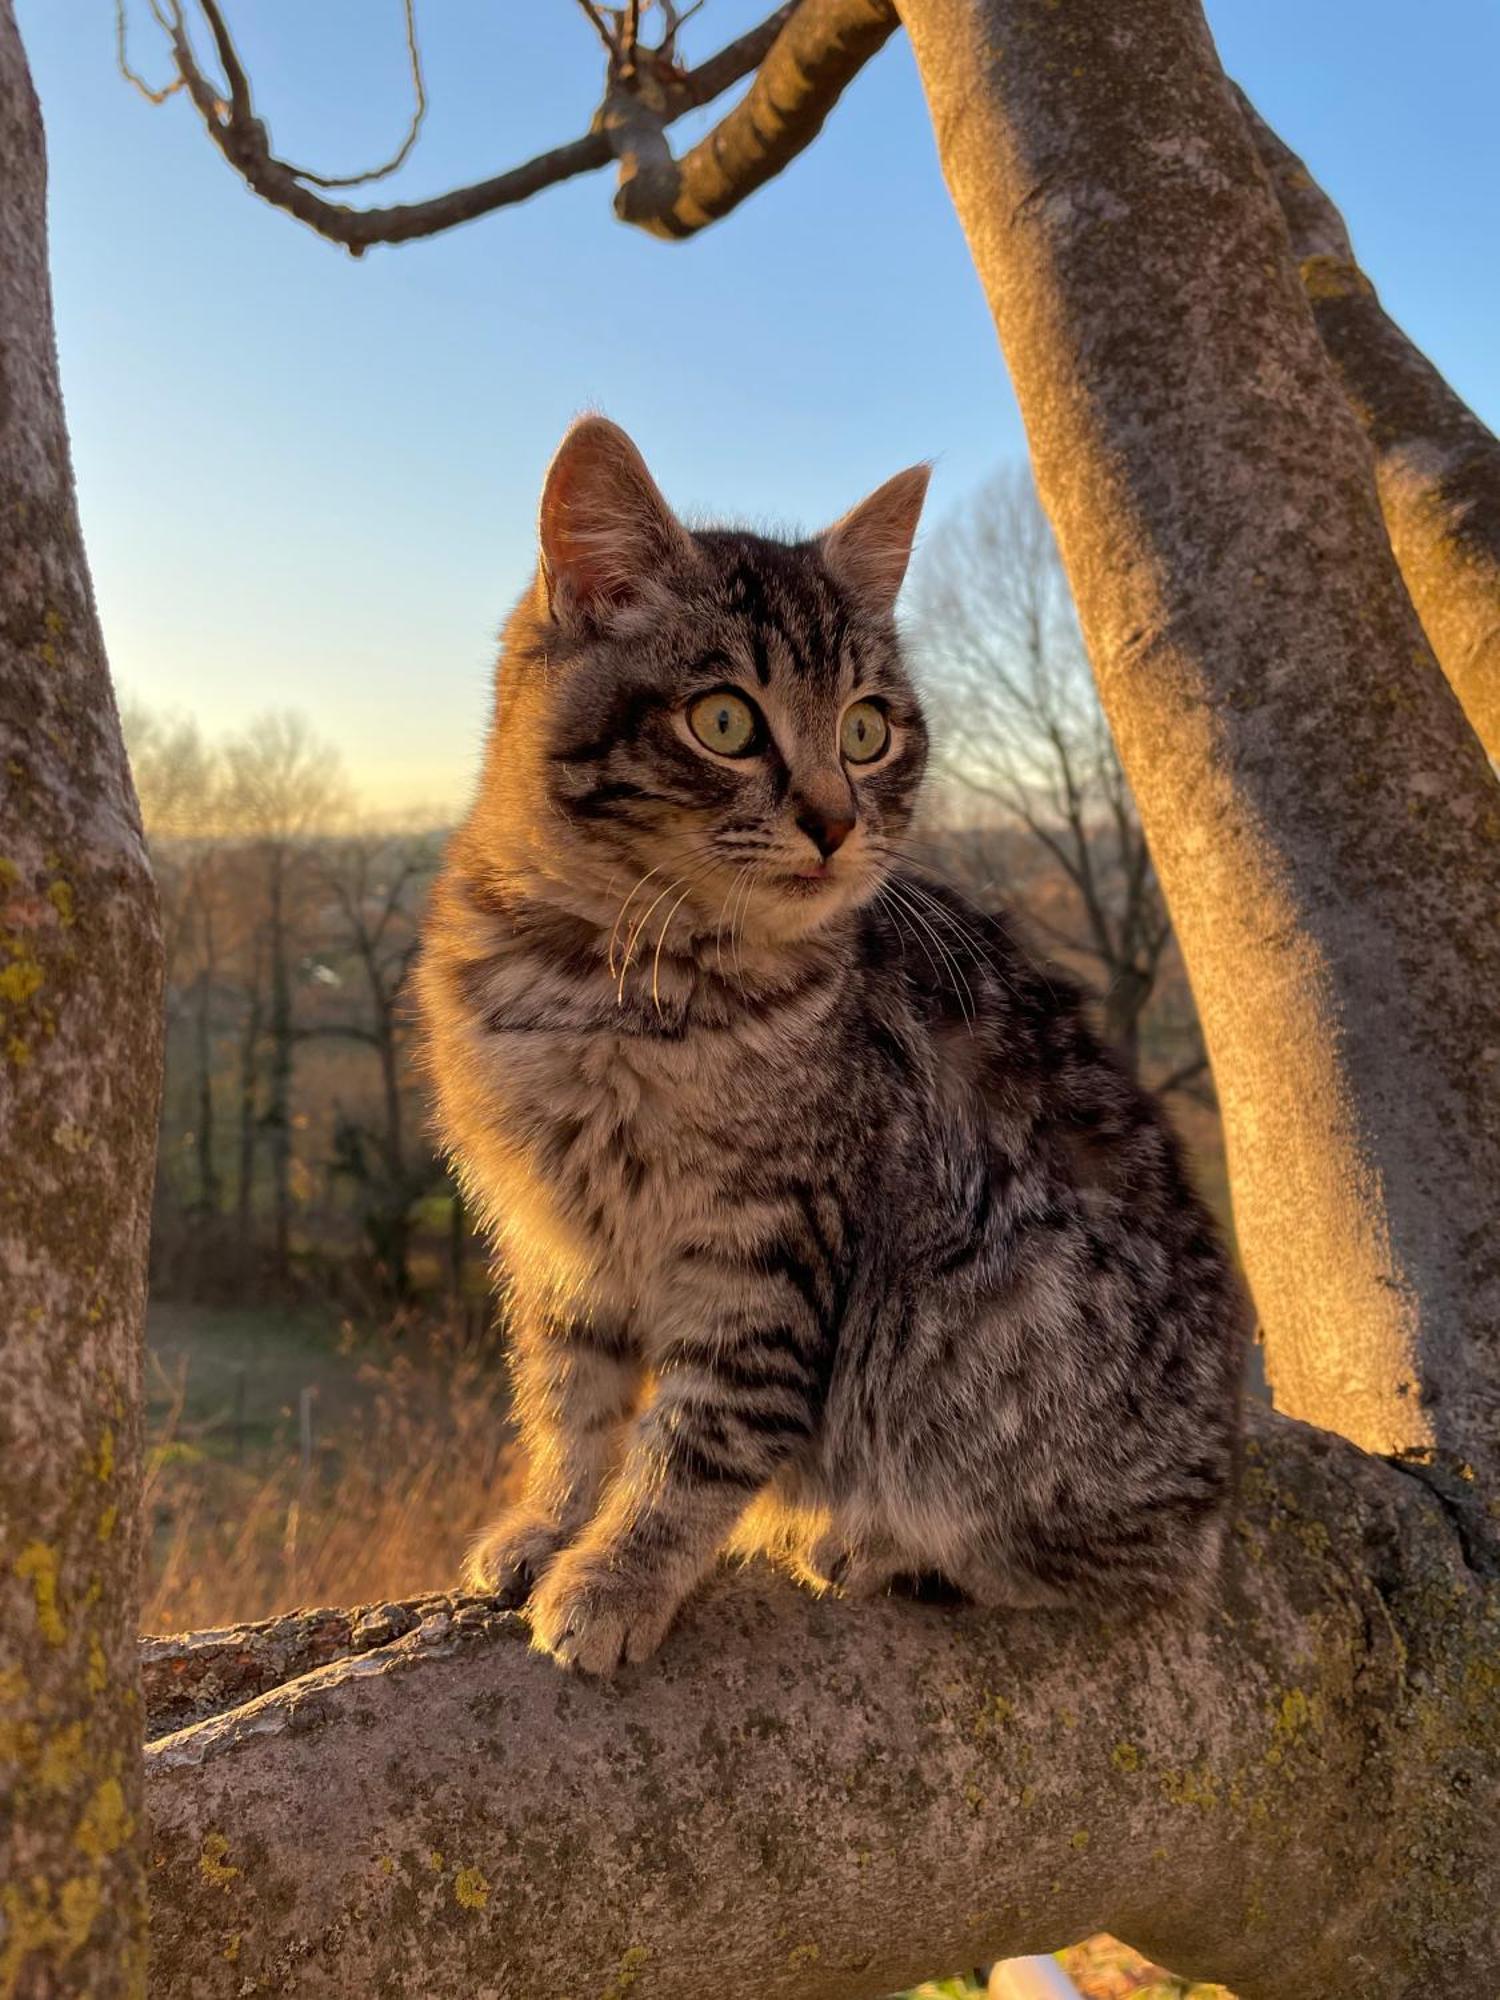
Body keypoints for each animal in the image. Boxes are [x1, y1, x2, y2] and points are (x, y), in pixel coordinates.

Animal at [418, 418, 1248, 1672]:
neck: (601, 978)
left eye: (867, 729)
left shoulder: (764, 1247)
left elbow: (695, 1439)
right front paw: (551, 1521)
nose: (835, 819)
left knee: (1117, 1567)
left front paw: (616, 1574)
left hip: (1015, 1336)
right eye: (724, 719)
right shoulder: (559, 1242)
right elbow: (571, 1400)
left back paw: (880, 1545)